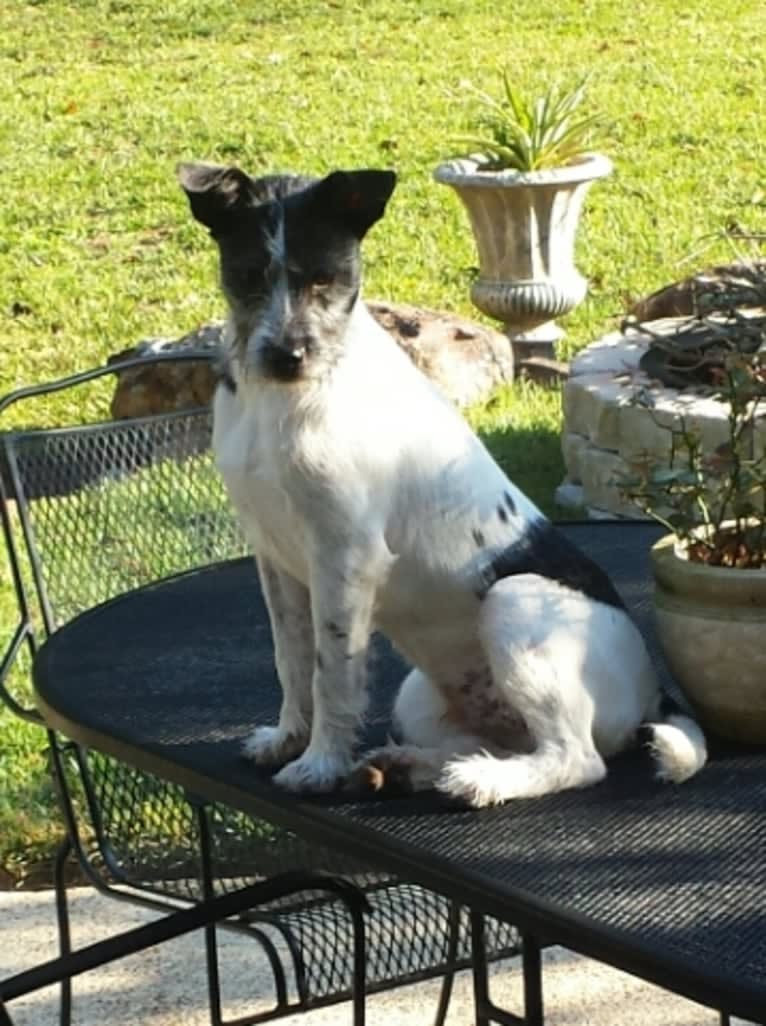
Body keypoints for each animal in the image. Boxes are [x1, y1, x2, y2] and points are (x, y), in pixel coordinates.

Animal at [178, 160, 705, 804]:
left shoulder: (344, 555)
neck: (287, 400)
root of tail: (654, 691)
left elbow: (332, 672)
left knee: (575, 760)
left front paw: (320, 763)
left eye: (326, 278)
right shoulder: (276, 561)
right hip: (424, 701)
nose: (287, 355)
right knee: (501, 742)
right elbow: (293, 660)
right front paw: (289, 739)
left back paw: (478, 781)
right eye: (249, 274)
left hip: (514, 603)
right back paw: (413, 767)